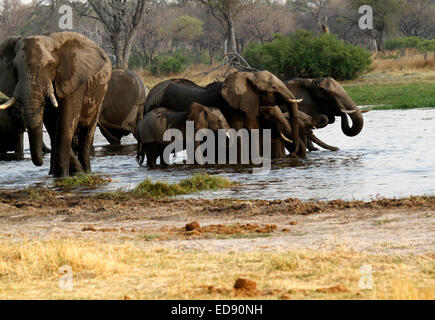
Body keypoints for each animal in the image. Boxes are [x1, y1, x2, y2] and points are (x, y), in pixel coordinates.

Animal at [0, 31, 111, 178]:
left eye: (50, 64)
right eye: (15, 67)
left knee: (87, 133)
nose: (40, 162)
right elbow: (53, 126)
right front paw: (67, 173)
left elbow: (65, 124)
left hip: (100, 94)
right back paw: (54, 173)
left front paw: (67, 175)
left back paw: (86, 172)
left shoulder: (73, 82)